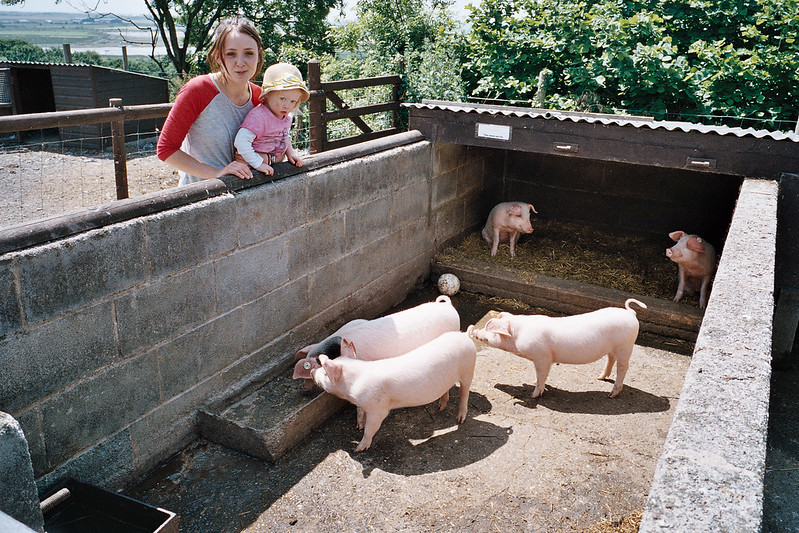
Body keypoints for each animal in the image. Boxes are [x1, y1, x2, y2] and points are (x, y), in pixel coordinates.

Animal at [310, 330, 476, 450]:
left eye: (325, 373)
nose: (312, 372)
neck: (352, 388)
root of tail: (465, 336)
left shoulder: (378, 410)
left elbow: (370, 429)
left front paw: (358, 449)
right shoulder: (362, 404)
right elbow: (359, 412)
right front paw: (358, 426)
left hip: (468, 369)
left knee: (464, 393)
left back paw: (460, 419)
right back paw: (440, 408)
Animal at [466, 298, 648, 396]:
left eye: (491, 329)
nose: (474, 330)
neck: (518, 335)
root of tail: (630, 313)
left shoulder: (542, 356)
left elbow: (541, 374)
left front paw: (534, 395)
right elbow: (542, 375)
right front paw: (535, 383)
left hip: (625, 346)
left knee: (623, 367)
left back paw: (612, 394)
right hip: (613, 348)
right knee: (611, 359)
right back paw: (600, 378)